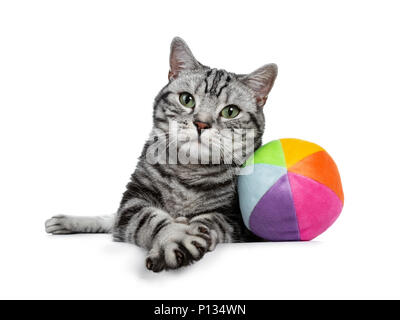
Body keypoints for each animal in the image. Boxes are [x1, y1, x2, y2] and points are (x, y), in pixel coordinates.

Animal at [45, 37, 276, 272]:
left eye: (230, 111)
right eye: (187, 99)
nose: (201, 123)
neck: (189, 171)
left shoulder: (234, 219)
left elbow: (209, 221)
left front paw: (194, 228)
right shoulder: (133, 199)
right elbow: (148, 219)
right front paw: (173, 237)